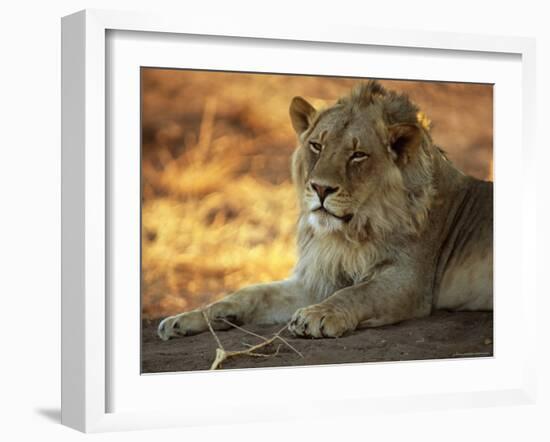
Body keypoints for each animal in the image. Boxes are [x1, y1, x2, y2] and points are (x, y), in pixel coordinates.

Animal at [157, 81, 494, 340]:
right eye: (317, 146)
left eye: (358, 155)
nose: (320, 188)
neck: (348, 233)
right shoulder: (321, 278)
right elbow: (253, 292)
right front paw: (190, 317)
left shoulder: (408, 281)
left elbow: (358, 293)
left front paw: (317, 316)